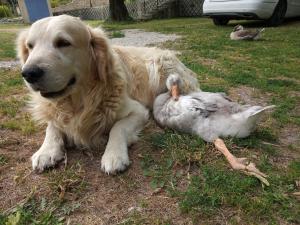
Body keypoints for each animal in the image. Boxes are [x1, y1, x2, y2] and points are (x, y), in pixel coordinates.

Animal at [16, 15, 199, 174]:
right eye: (30, 46)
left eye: (63, 43)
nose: (28, 73)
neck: (79, 101)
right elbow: (52, 126)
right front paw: (46, 151)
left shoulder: (138, 111)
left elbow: (117, 127)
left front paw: (114, 155)